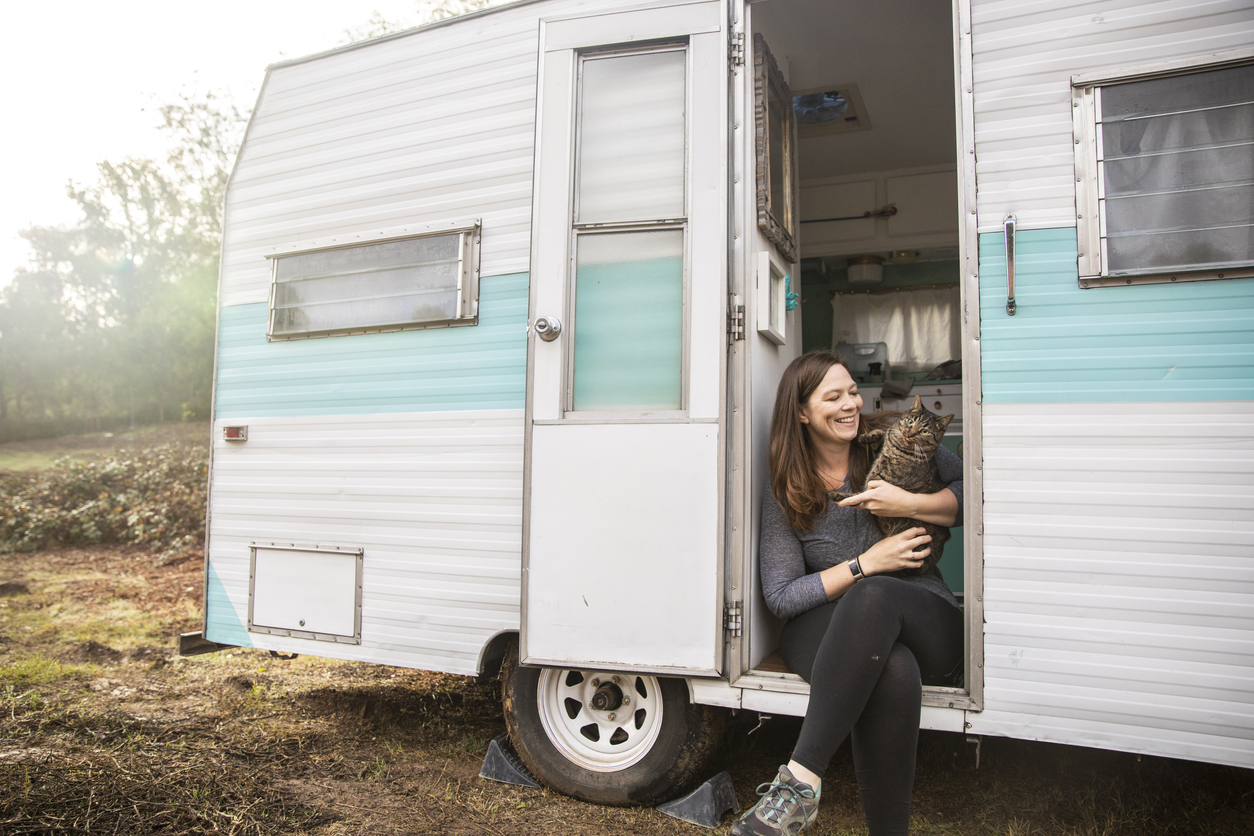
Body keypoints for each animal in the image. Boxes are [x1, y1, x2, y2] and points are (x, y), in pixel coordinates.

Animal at [837, 393, 953, 576]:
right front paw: (868, 436)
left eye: (925, 431)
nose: (909, 433)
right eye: (911, 421)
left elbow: (858, 495)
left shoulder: (875, 482)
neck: (897, 447)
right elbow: (884, 433)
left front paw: (837, 495)